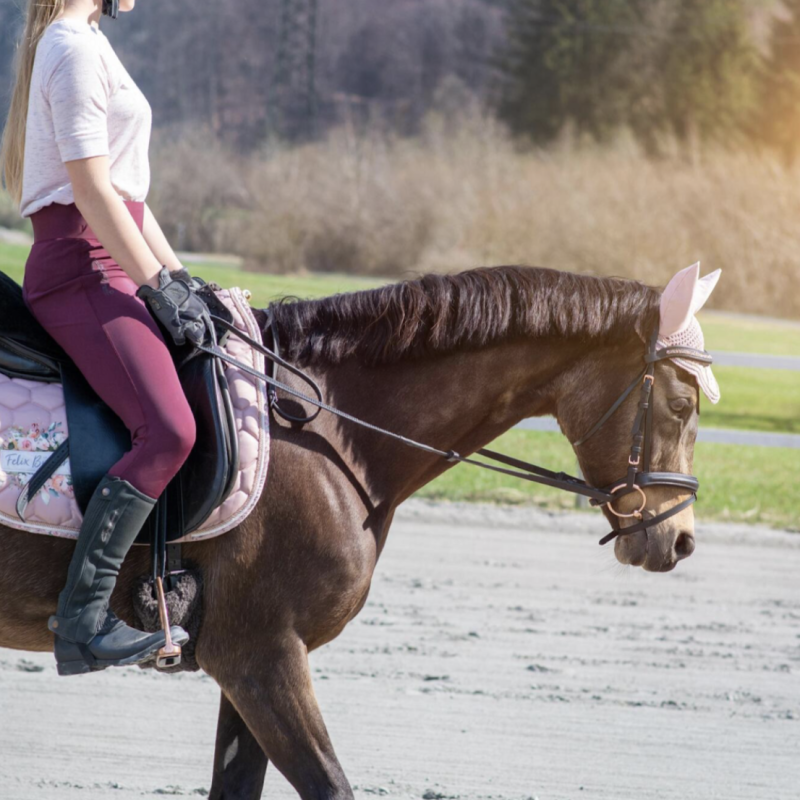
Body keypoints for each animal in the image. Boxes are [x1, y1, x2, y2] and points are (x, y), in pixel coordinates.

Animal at [0, 265, 709, 799]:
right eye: (681, 405)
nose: (679, 540)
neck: (330, 432)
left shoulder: (250, 663)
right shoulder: (260, 656)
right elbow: (332, 787)